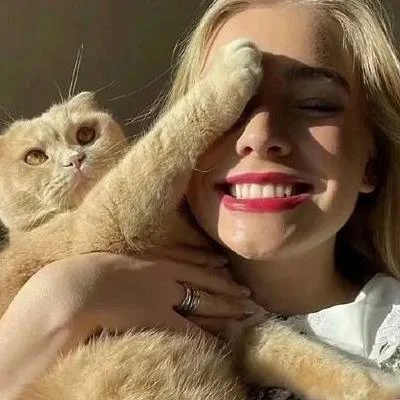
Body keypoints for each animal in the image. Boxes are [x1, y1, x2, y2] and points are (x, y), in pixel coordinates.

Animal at [0, 39, 398, 400]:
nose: (75, 159)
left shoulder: (240, 323)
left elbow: (323, 364)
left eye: (85, 134)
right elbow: (161, 143)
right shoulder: (102, 223)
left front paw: (383, 387)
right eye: (34, 157)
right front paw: (229, 71)